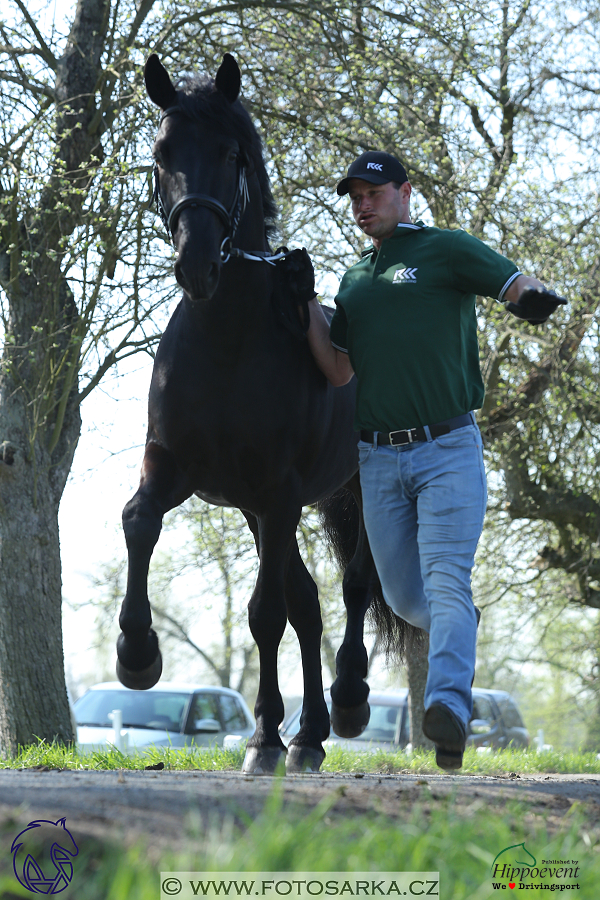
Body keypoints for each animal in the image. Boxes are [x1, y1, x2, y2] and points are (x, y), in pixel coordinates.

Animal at [116, 54, 404, 772]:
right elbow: (138, 521)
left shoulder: (280, 491)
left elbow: (265, 613)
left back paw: (346, 702)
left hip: (350, 489)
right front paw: (137, 652)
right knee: (308, 604)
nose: (196, 264)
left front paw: (267, 740)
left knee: (352, 586)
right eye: (162, 153)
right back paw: (306, 735)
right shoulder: (180, 469)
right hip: (261, 509)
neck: (228, 342)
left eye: (230, 154)